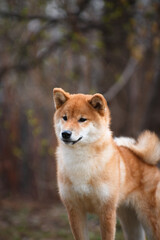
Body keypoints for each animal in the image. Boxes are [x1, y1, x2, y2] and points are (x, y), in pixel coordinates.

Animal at [53, 88, 160, 240]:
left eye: (82, 119)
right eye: (65, 117)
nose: (66, 133)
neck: (82, 160)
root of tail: (149, 163)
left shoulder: (106, 210)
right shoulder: (75, 210)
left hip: (150, 219)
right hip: (130, 220)